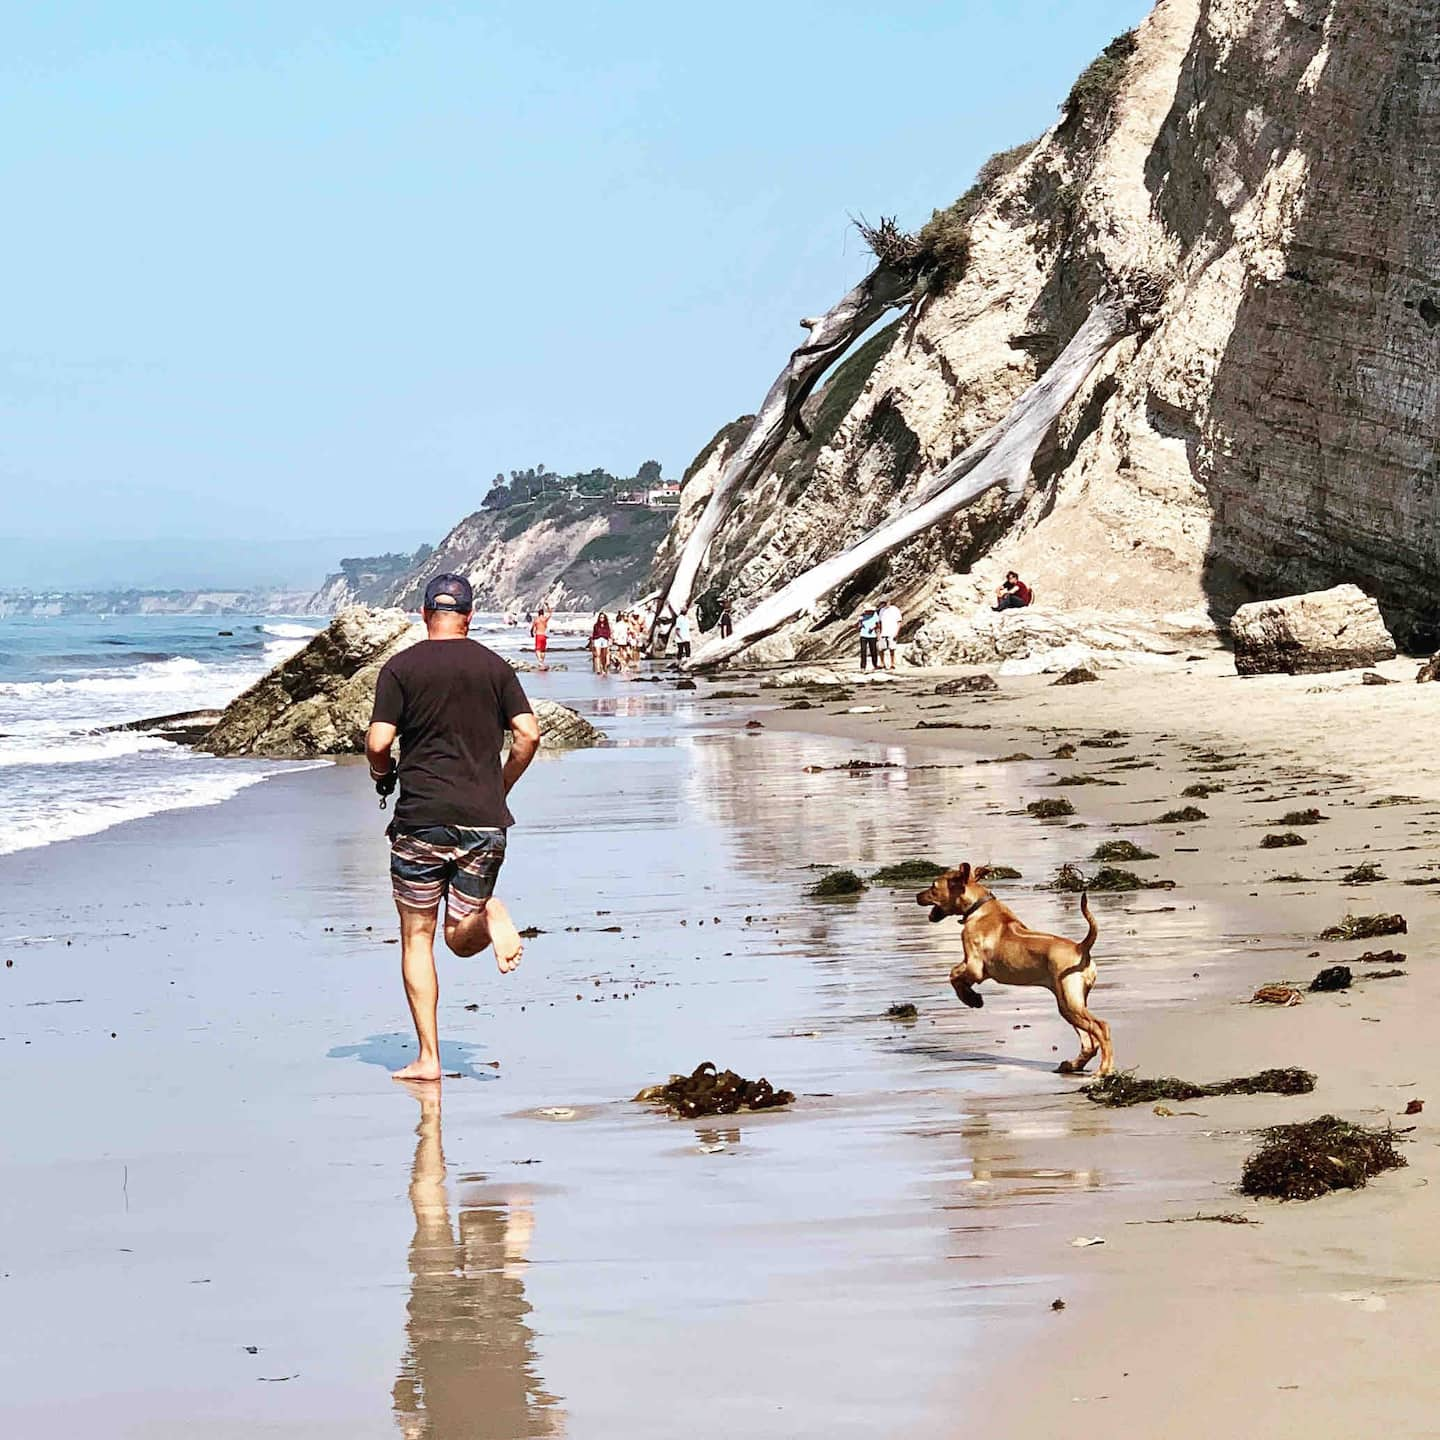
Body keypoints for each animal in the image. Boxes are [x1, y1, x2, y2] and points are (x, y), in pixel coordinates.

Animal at [921, 858, 1111, 1077]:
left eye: (933, 887)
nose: (917, 896)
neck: (978, 907)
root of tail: (1081, 947)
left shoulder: (975, 967)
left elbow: (953, 975)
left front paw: (971, 999)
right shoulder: (973, 966)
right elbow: (954, 974)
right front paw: (971, 996)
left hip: (1070, 1003)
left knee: (1101, 1028)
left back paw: (1105, 1069)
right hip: (1070, 1002)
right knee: (1089, 1041)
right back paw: (1072, 1065)